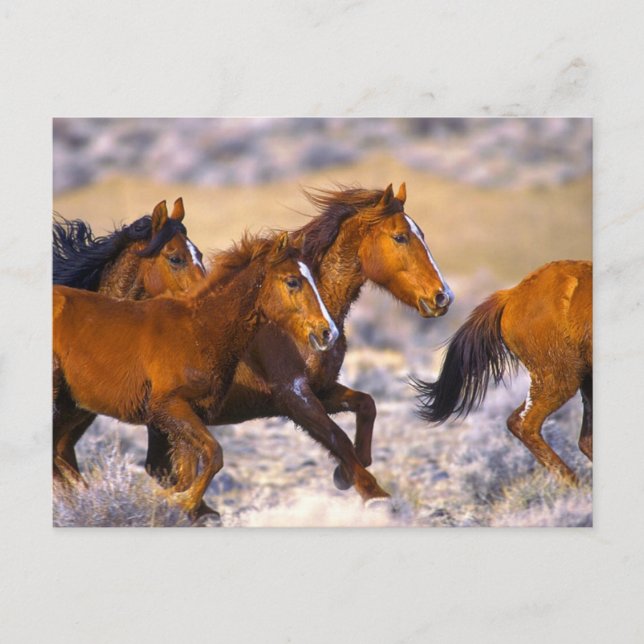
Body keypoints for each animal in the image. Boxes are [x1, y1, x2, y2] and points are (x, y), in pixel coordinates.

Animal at [53, 232, 338, 517]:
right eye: (292, 281)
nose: (328, 332)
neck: (198, 331)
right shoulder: (169, 407)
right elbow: (213, 455)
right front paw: (181, 502)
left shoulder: (190, 416)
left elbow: (188, 472)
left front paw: (177, 502)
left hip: (71, 408)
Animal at [144, 182, 453, 502]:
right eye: (400, 237)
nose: (442, 296)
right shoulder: (293, 395)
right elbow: (338, 439)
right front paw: (369, 491)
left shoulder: (321, 389)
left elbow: (366, 406)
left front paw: (345, 473)